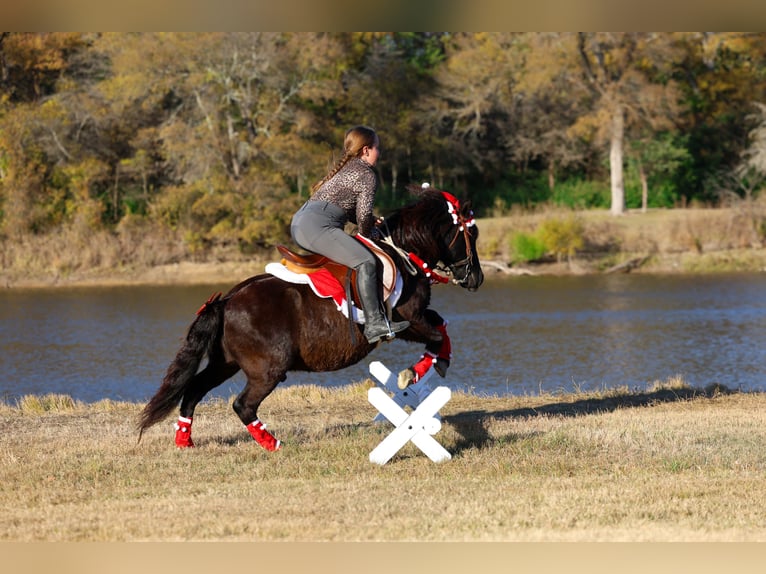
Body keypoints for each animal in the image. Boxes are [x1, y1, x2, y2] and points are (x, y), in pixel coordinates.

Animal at [138, 186, 484, 450]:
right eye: (473, 233)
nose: (476, 279)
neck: (404, 254)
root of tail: (226, 301)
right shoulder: (406, 322)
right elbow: (436, 335)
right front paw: (413, 373)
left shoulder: (417, 319)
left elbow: (441, 326)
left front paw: (437, 364)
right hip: (267, 369)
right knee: (242, 404)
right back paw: (272, 444)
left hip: (227, 362)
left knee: (194, 390)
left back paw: (185, 442)